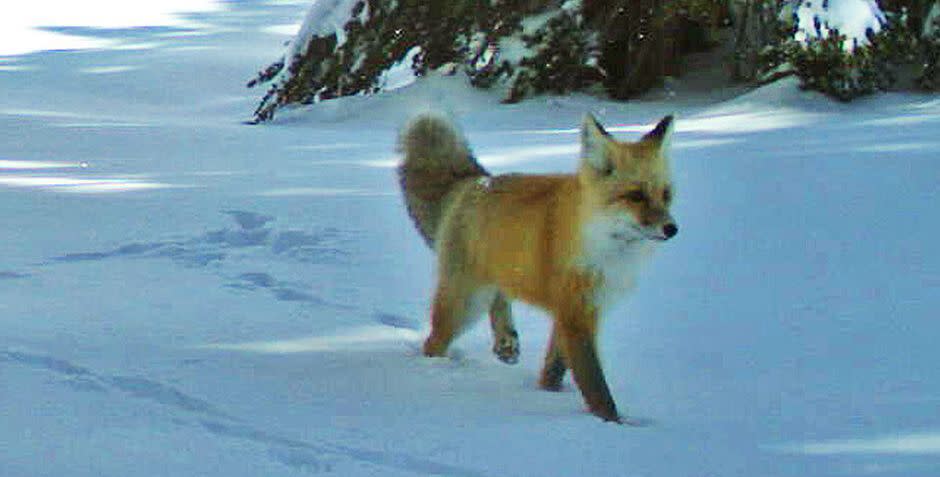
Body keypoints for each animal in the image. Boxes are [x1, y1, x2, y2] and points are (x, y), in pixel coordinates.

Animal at [396, 111, 676, 420]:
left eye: (666, 195)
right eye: (635, 195)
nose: (672, 229)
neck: (605, 248)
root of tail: (475, 181)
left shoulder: (580, 309)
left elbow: (554, 370)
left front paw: (547, 394)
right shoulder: (575, 314)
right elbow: (596, 388)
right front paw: (612, 423)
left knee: (499, 297)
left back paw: (505, 341)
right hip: (466, 303)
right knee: (433, 342)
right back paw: (436, 372)